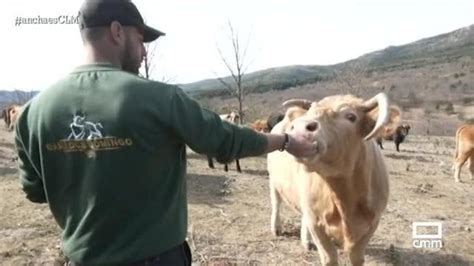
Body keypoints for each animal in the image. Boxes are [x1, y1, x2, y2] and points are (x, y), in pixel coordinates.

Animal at [268, 92, 398, 264]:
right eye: (310, 112)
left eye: (351, 116)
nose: (300, 127)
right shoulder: (317, 223)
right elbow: (329, 257)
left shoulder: (372, 222)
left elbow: (357, 257)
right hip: (273, 180)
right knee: (276, 203)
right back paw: (276, 228)